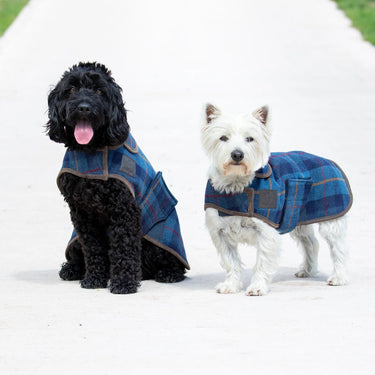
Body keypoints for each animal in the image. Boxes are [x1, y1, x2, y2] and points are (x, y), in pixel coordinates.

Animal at [46, 62, 187, 294]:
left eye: (98, 91)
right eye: (72, 89)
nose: (84, 107)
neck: (92, 151)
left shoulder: (124, 209)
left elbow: (124, 247)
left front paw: (123, 283)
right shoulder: (81, 213)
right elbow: (93, 248)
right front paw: (94, 279)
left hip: (158, 241)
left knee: (170, 262)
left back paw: (168, 274)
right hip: (74, 240)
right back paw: (72, 269)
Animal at [203, 104, 352, 296]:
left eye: (250, 139)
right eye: (223, 138)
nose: (237, 154)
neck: (237, 185)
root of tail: (331, 162)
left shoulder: (266, 231)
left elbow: (262, 262)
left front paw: (257, 286)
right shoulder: (220, 233)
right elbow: (231, 262)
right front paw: (231, 285)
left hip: (331, 219)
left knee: (338, 247)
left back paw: (339, 277)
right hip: (298, 218)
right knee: (311, 242)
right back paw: (308, 269)